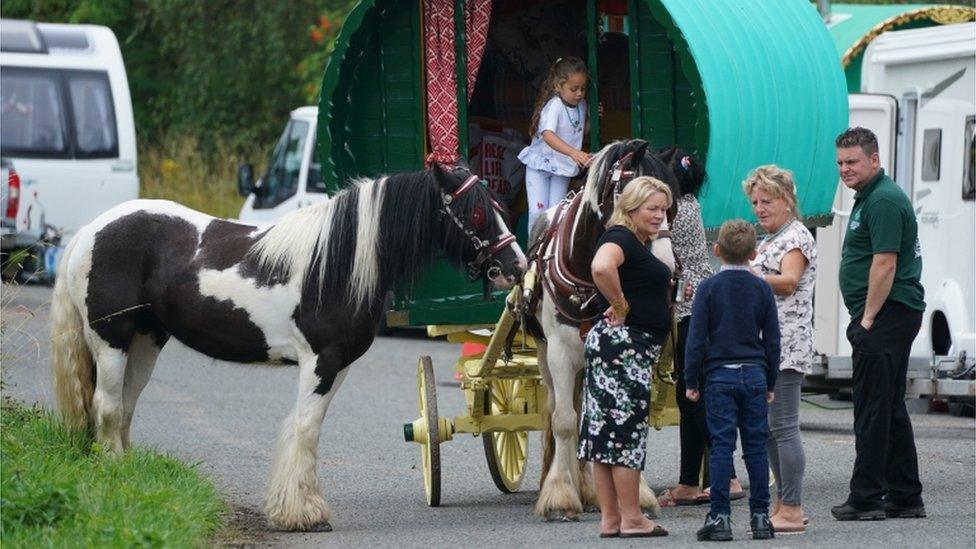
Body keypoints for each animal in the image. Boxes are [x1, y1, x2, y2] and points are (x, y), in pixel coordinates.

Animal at [48, 164, 528, 532]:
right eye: (478, 213)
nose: (516, 267)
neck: (336, 263)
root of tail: (90, 231)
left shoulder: (338, 367)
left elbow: (306, 429)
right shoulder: (320, 363)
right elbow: (304, 428)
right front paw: (303, 515)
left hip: (146, 341)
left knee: (125, 408)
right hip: (112, 340)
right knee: (108, 407)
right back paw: (115, 477)